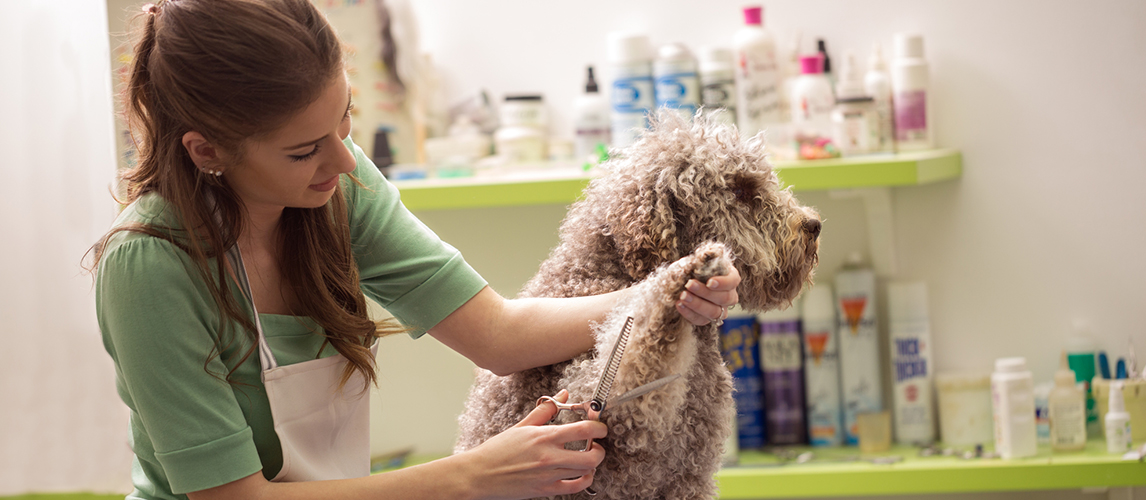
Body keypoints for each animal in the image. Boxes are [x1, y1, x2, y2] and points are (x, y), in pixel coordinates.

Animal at [456, 114, 825, 499]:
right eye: (741, 189)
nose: (813, 225)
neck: (612, 271)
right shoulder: (585, 408)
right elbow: (640, 353)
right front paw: (678, 280)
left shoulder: (687, 478)